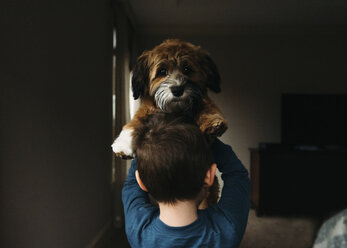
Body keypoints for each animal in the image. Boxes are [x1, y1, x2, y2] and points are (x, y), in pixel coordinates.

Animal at [111, 39, 230, 207]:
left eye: (187, 69)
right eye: (162, 71)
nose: (177, 89)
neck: (176, 109)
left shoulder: (200, 100)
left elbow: (207, 106)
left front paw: (213, 122)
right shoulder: (146, 110)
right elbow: (134, 122)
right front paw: (123, 145)